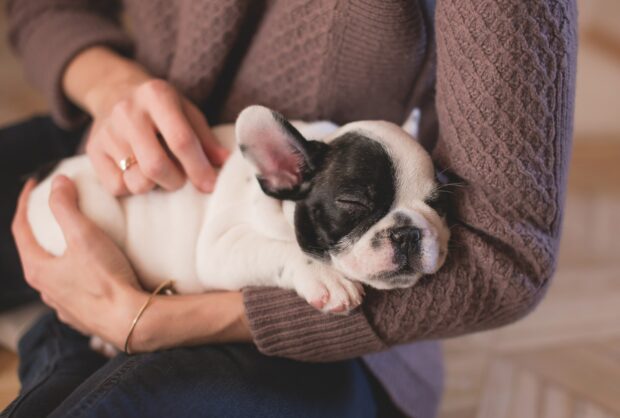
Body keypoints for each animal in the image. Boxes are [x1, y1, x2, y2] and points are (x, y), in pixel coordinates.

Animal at [25, 103, 450, 316]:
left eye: (438, 204)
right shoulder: (220, 247)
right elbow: (280, 249)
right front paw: (327, 278)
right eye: (353, 203)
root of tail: (46, 174)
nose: (408, 232)